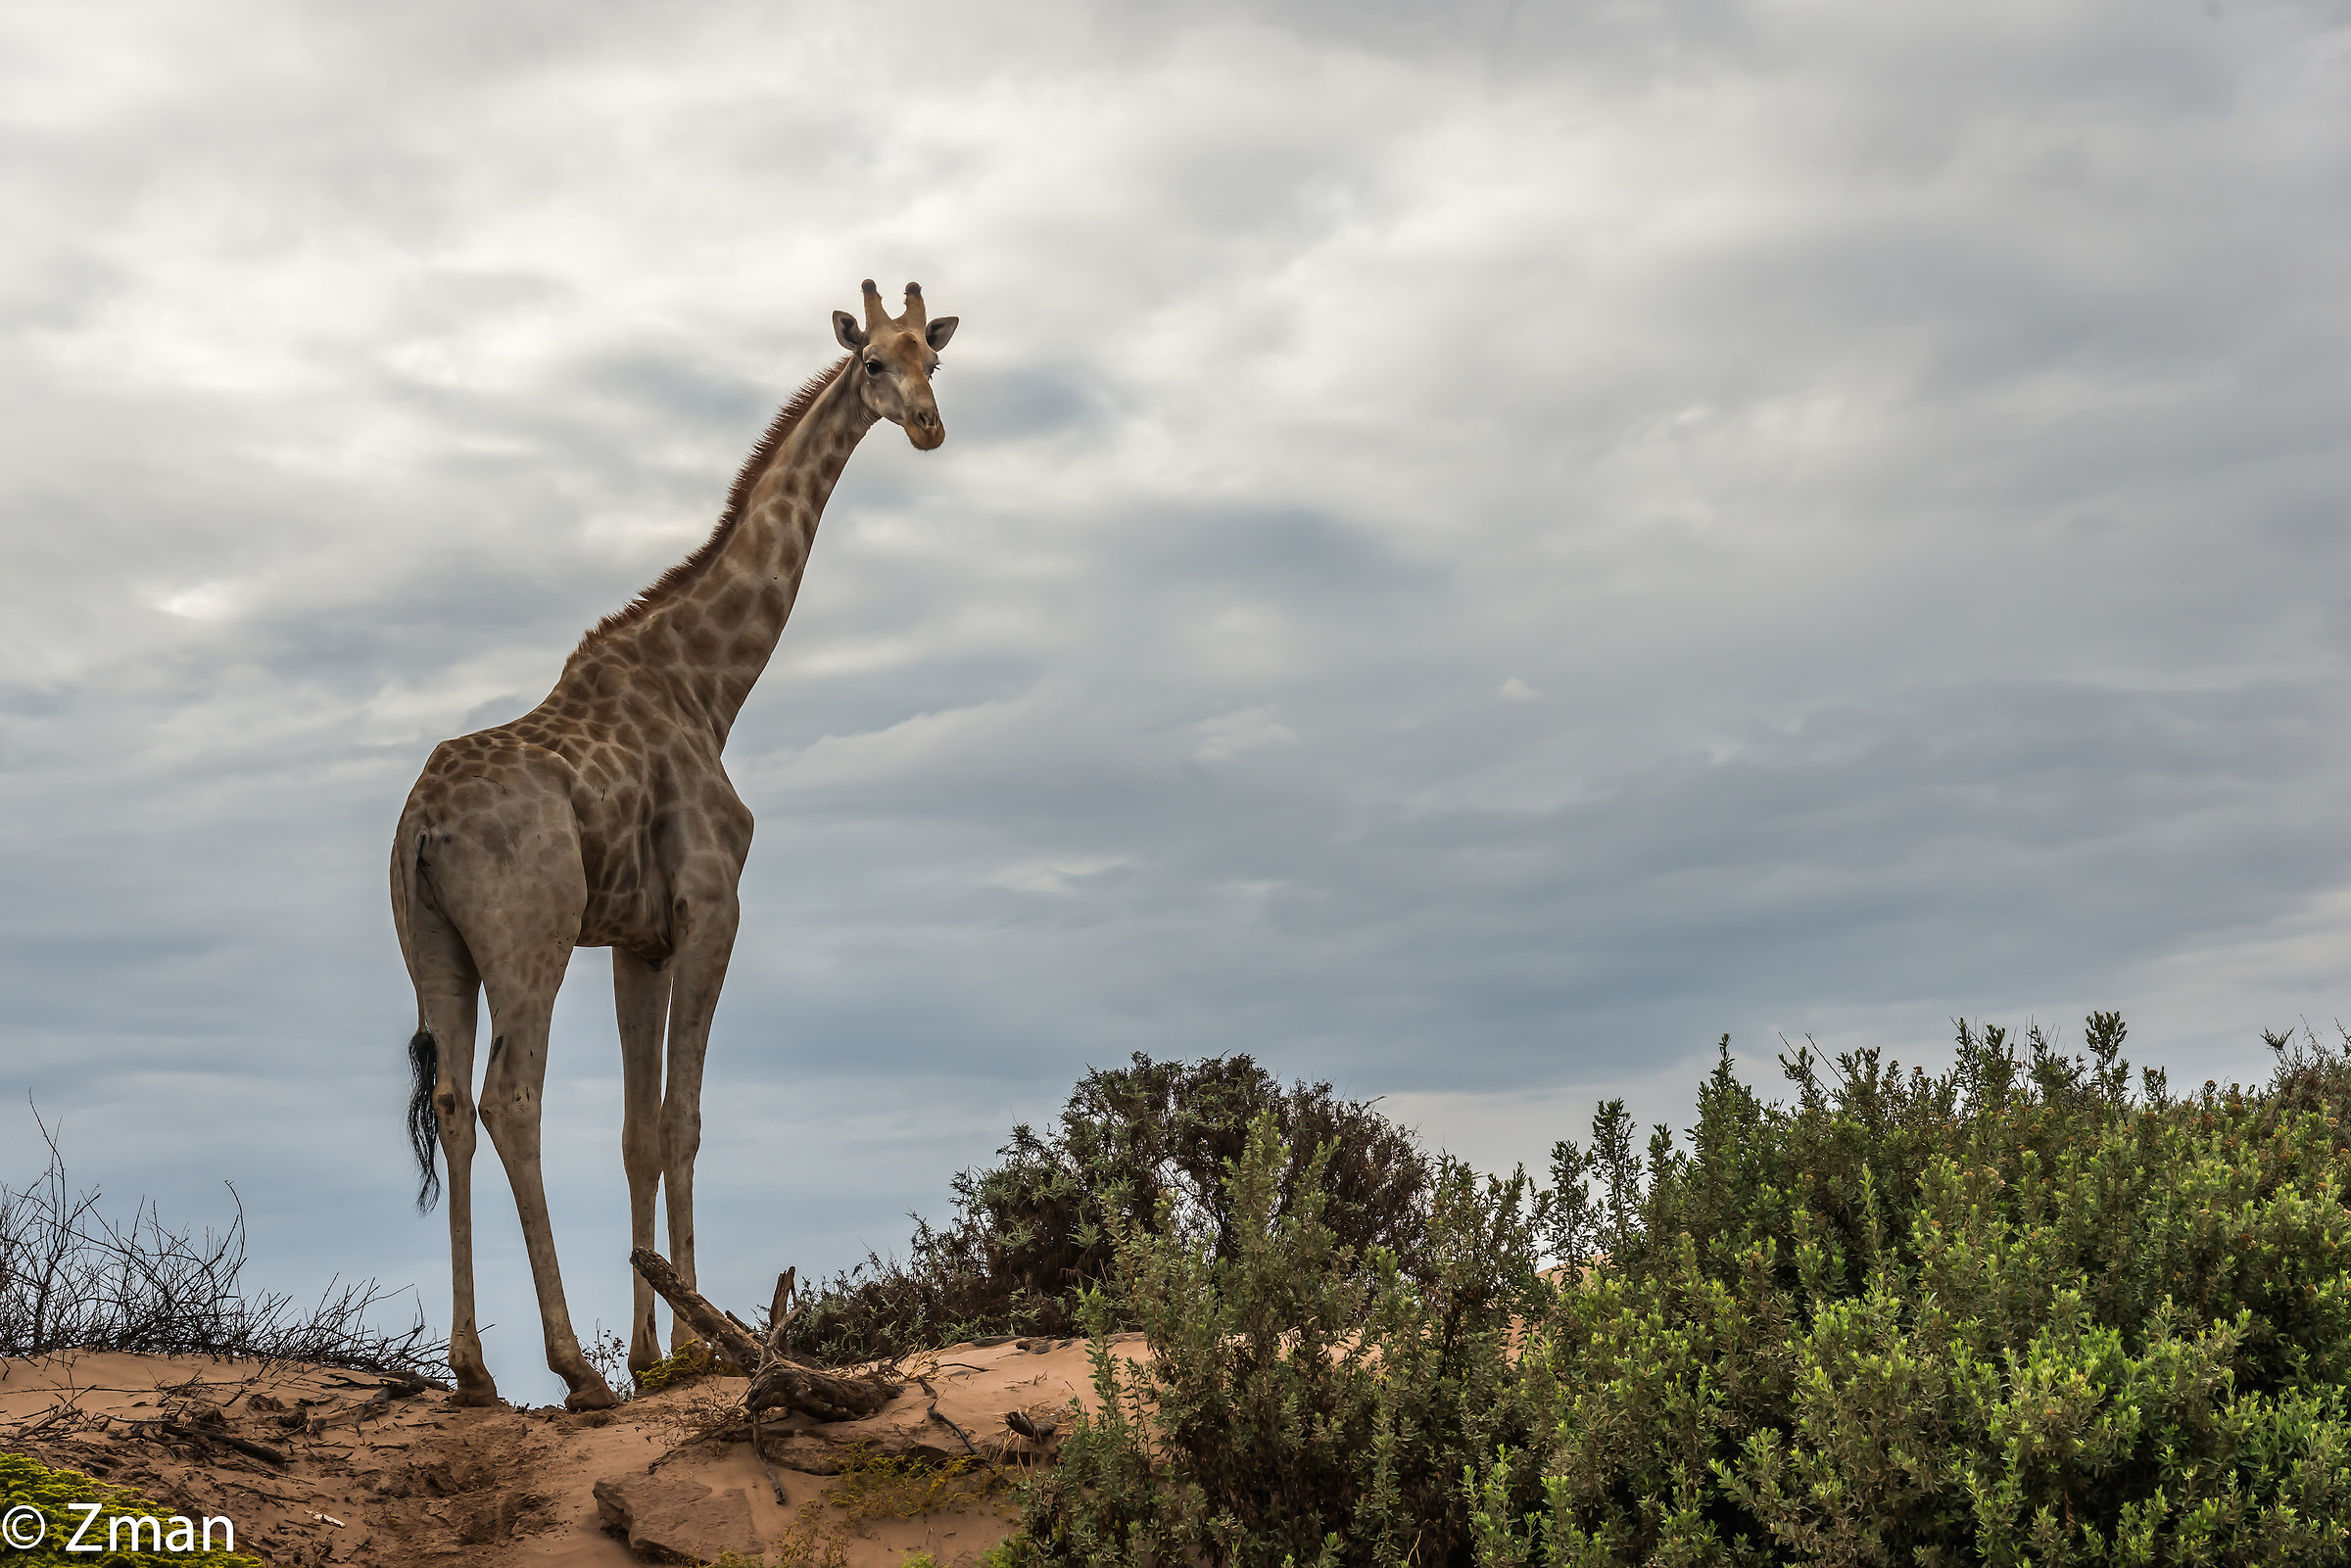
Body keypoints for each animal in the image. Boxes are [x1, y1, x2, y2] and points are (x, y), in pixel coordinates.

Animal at [390, 281, 957, 1409]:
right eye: (872, 360)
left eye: (937, 356)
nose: (927, 423)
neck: (712, 685)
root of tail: (423, 824)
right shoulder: (710, 908)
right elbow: (686, 1117)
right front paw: (700, 1342)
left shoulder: (636, 939)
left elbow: (638, 1130)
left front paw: (658, 1349)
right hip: (530, 938)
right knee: (512, 1098)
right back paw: (570, 1366)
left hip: (437, 948)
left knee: (453, 1101)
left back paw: (475, 1370)